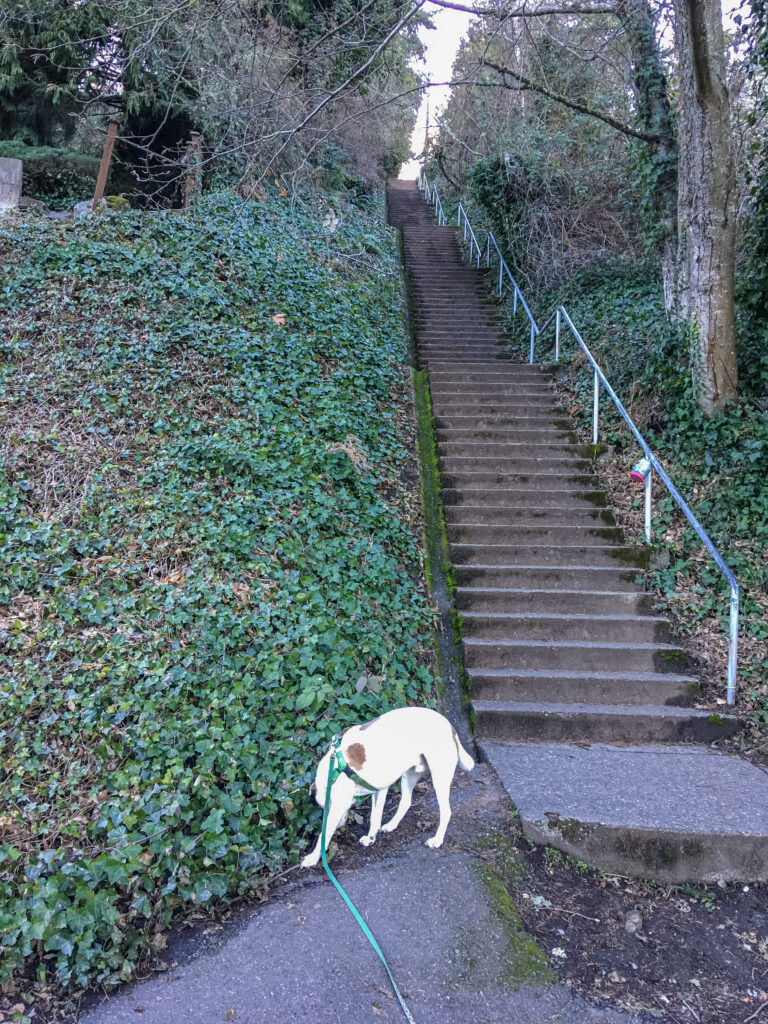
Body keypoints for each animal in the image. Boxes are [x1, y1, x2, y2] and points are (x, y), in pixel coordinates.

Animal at [301, 708, 475, 868]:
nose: (340, 823)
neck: (334, 769)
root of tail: (449, 726)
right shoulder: (379, 789)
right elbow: (375, 817)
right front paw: (371, 838)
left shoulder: (340, 803)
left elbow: (325, 833)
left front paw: (313, 858)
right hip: (408, 776)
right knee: (406, 802)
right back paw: (392, 825)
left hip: (439, 778)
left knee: (446, 811)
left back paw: (437, 840)